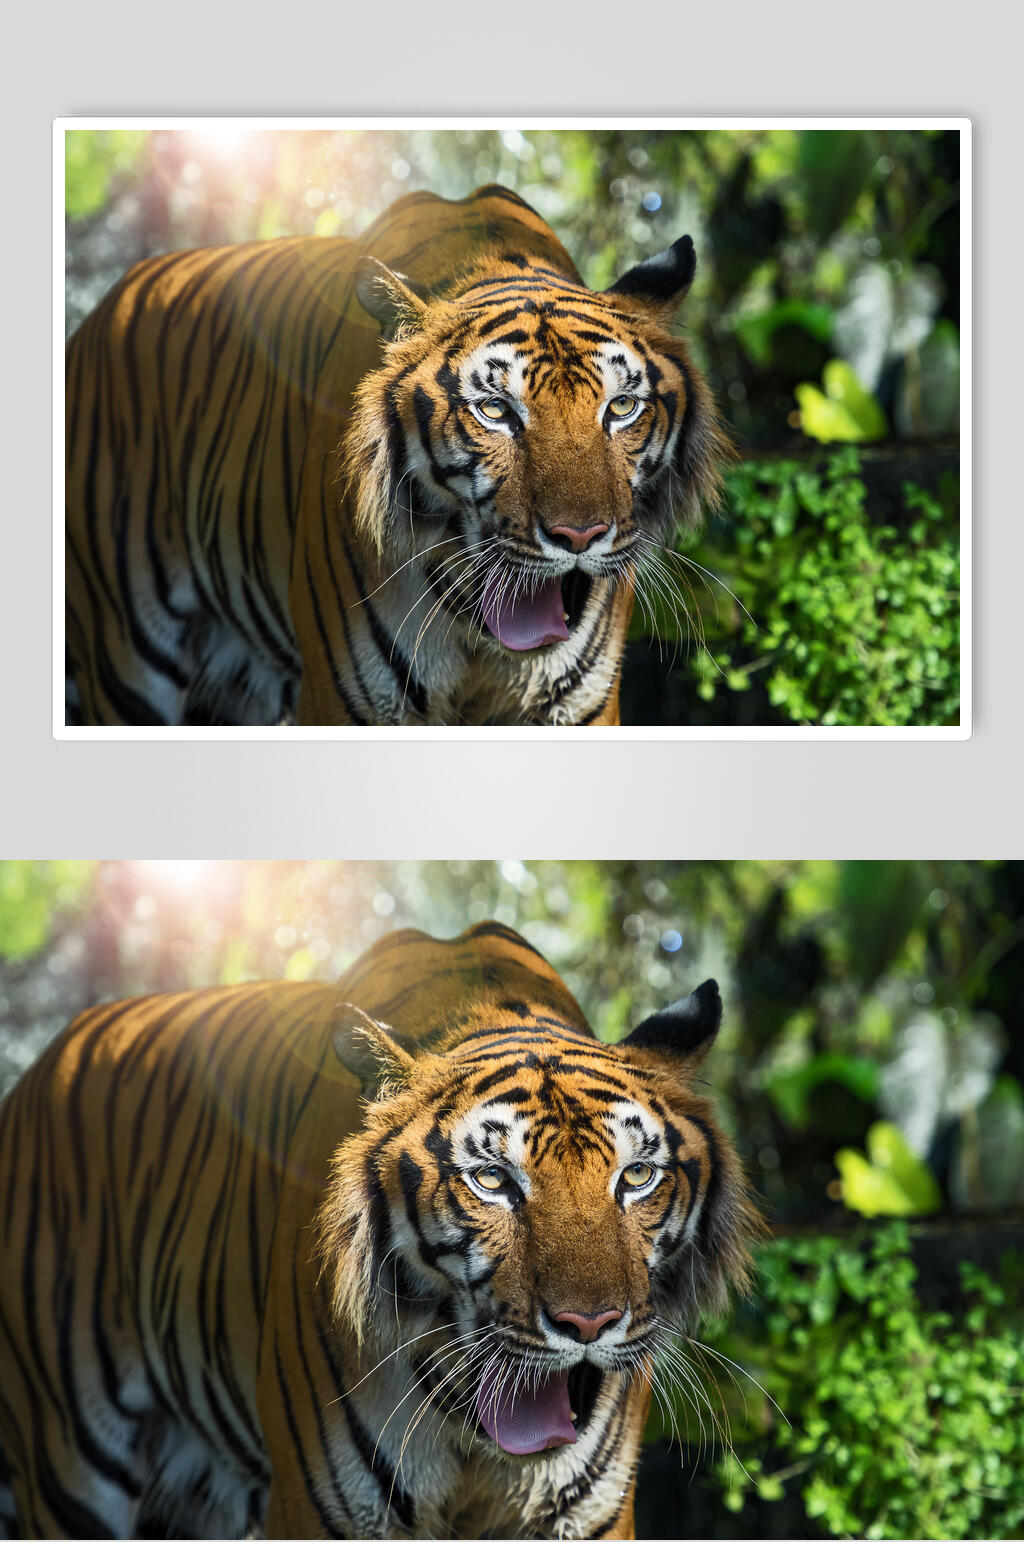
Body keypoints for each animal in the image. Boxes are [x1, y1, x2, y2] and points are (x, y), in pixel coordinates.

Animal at [0, 921, 759, 1540]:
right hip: (71, 1469)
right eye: (493, 1181)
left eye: (637, 1176)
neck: (473, 1440)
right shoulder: (326, 1512)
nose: (589, 1324)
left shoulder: (589, 1514)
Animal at [65, 183, 729, 727]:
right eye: (495, 411)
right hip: (127, 667)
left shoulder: (581, 705)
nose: (580, 536)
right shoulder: (349, 702)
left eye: (622, 407)